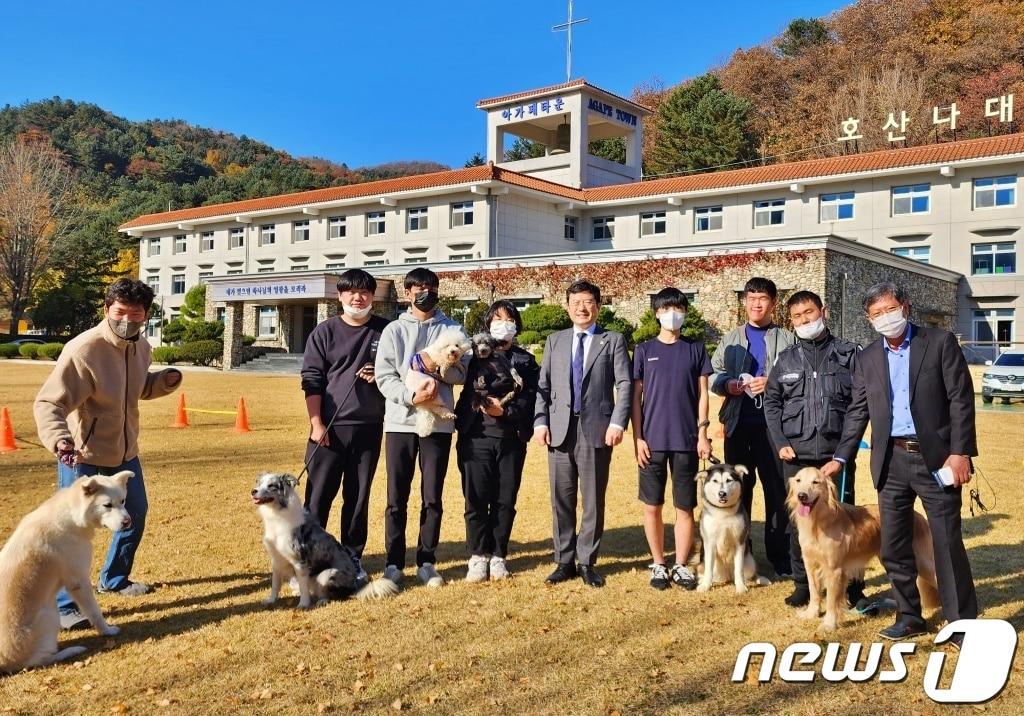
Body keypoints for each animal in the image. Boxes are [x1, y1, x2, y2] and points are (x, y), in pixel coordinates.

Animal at [0, 471, 134, 671]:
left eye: (123, 501)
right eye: (107, 505)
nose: (128, 522)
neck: (72, 516)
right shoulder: (79, 581)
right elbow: (95, 612)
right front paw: (108, 631)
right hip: (51, 615)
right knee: (38, 662)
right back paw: (72, 650)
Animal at [252, 473, 399, 606]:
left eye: (271, 486)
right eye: (259, 483)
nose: (253, 491)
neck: (277, 514)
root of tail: (355, 585)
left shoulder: (300, 562)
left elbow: (303, 588)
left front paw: (303, 605)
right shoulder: (277, 560)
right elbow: (275, 585)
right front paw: (271, 600)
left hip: (326, 574)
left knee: (328, 594)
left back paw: (321, 601)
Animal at [692, 465, 770, 594]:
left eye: (729, 480)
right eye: (715, 481)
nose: (722, 493)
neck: (723, 512)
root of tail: (727, 576)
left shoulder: (739, 541)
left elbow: (739, 570)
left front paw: (741, 587)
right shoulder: (709, 542)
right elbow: (708, 570)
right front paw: (705, 586)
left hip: (750, 561)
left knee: (750, 575)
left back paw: (760, 579)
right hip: (702, 564)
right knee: (705, 571)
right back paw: (701, 580)